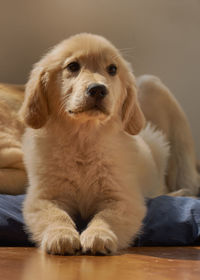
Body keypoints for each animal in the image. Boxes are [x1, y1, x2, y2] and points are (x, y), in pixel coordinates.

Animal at [20, 34, 170, 255]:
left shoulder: (124, 198)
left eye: (113, 69)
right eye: (73, 66)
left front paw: (98, 235)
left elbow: (106, 216)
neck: (84, 139)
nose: (98, 89)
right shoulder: (44, 197)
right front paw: (61, 235)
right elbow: (56, 215)